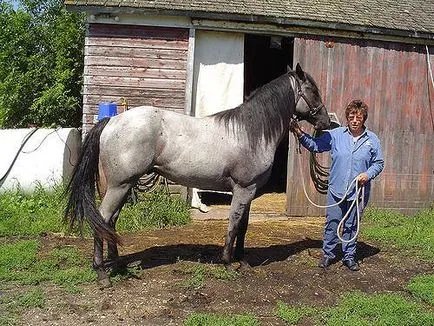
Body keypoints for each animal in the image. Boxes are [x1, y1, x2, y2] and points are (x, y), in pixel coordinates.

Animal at [64, 63, 328, 286]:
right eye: (313, 91)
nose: (326, 121)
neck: (250, 132)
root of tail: (111, 121)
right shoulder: (244, 188)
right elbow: (234, 223)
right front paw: (228, 263)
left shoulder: (250, 191)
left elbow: (243, 226)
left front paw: (243, 261)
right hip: (119, 186)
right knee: (101, 218)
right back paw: (102, 273)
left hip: (122, 186)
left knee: (110, 221)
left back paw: (117, 265)